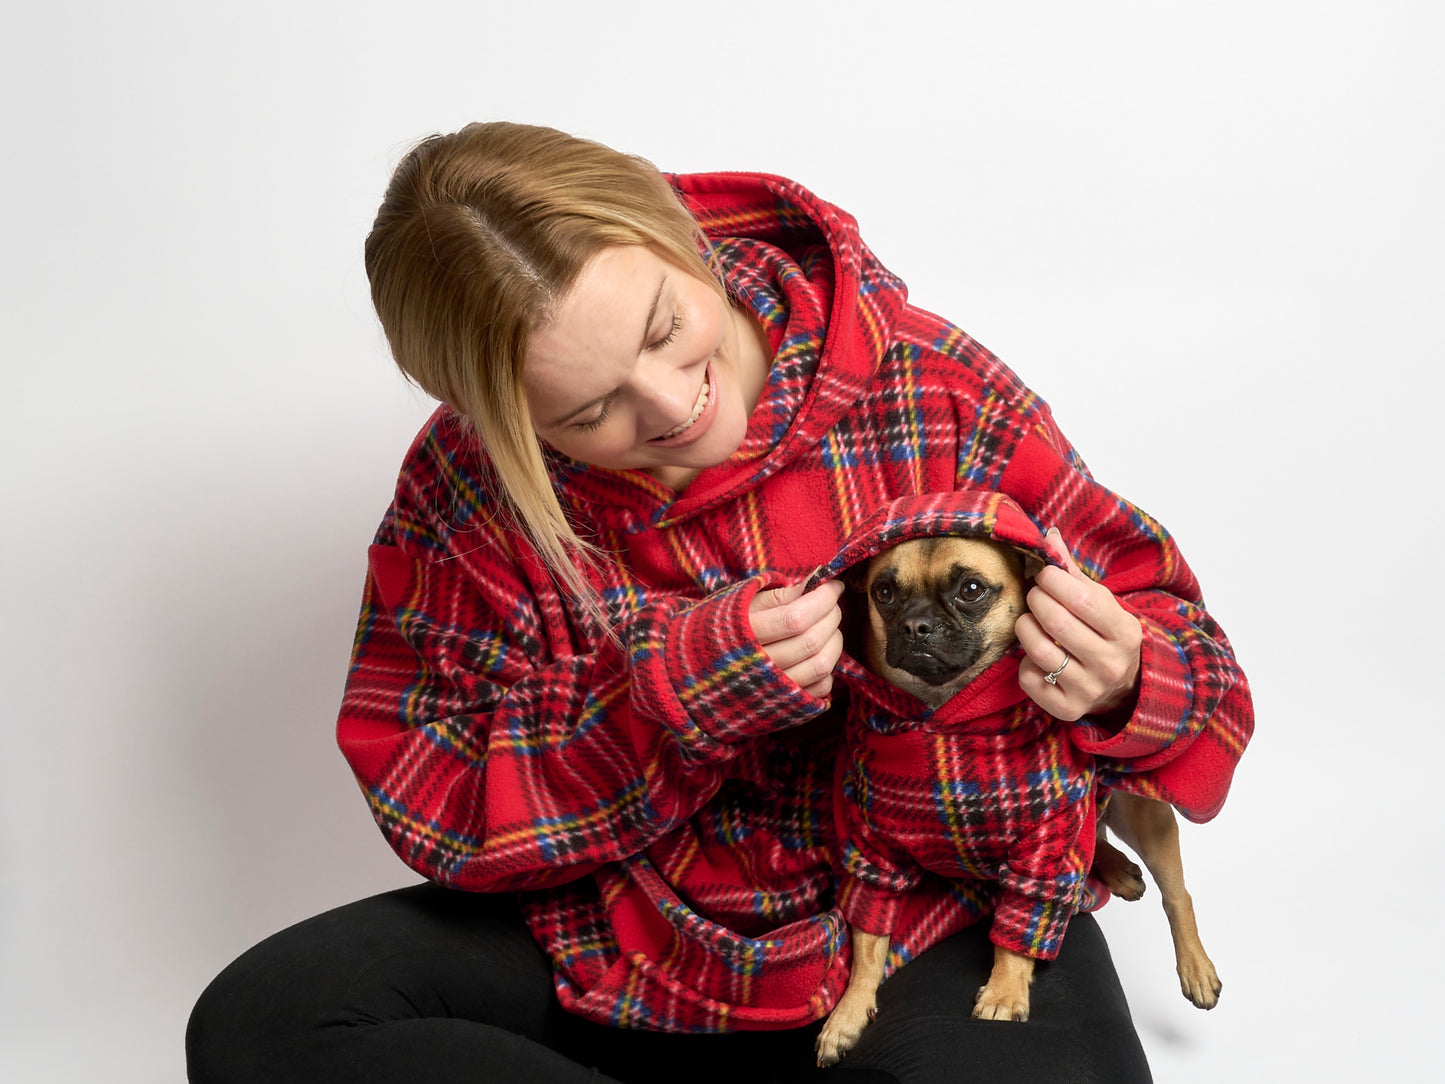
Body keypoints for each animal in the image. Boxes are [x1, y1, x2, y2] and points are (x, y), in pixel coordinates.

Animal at [814, 534, 1219, 1069]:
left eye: (971, 589)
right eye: (883, 592)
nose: (915, 624)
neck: (940, 714)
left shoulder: (1043, 851)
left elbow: (1020, 926)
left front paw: (1005, 992)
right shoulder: (872, 855)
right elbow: (868, 941)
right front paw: (848, 1012)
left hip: (1142, 817)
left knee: (1176, 894)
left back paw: (1195, 966)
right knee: (1095, 835)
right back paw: (1114, 869)